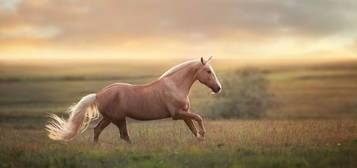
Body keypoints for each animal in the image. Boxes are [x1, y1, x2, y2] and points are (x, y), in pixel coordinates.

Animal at [46, 56, 221, 143]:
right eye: (208, 71)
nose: (218, 88)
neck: (174, 85)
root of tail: (98, 94)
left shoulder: (184, 113)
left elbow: (192, 127)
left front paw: (200, 139)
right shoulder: (177, 114)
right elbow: (199, 118)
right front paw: (203, 134)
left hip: (110, 118)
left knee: (98, 130)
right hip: (118, 119)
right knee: (123, 135)